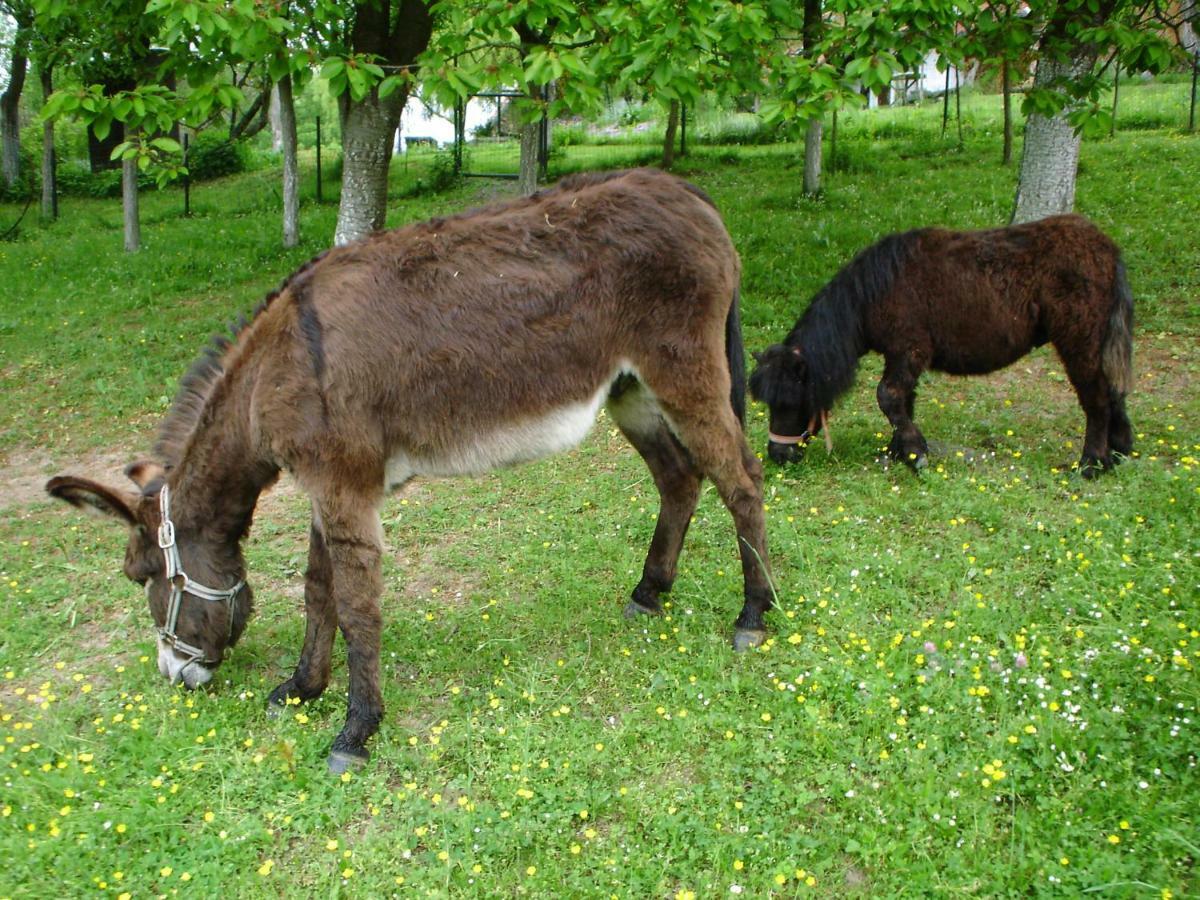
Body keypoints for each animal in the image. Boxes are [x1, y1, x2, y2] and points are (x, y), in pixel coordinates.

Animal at [46, 169, 772, 777]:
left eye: (140, 575)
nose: (175, 676)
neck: (269, 377)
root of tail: (686, 190)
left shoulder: (344, 487)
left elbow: (356, 606)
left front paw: (355, 731)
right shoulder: (326, 487)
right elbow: (318, 589)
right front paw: (302, 687)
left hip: (683, 369)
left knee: (742, 479)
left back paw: (753, 616)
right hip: (630, 389)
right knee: (679, 479)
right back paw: (650, 591)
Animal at [748, 216, 1132, 480]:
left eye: (789, 400)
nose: (778, 455)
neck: (871, 293)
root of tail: (1107, 249)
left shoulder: (908, 351)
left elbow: (888, 397)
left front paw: (916, 455)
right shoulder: (902, 356)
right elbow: (904, 401)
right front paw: (900, 451)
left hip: (1078, 341)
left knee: (1097, 399)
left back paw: (1091, 463)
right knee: (1113, 391)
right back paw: (1119, 452)